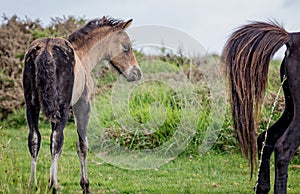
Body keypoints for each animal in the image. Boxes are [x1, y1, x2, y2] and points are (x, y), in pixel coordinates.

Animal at [22, 16, 141, 192]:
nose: (137, 73)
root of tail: (45, 51)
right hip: (62, 109)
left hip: (32, 106)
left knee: (34, 138)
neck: (83, 57)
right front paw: (85, 185)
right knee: (57, 140)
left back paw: (33, 184)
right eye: (127, 47)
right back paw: (54, 185)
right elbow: (82, 146)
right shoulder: (82, 105)